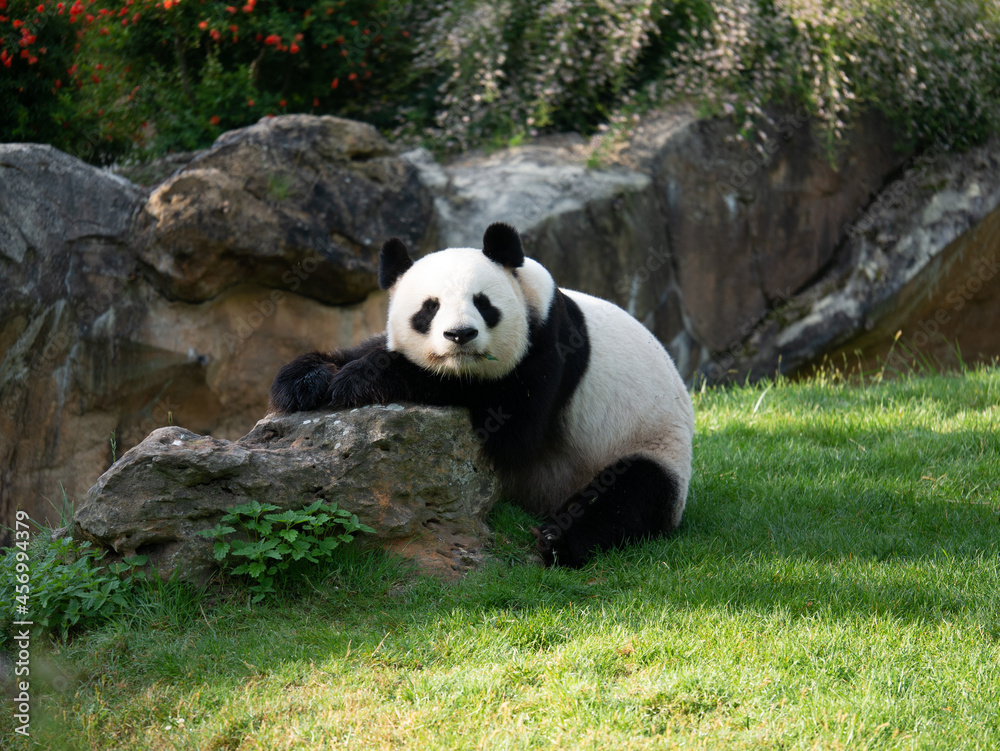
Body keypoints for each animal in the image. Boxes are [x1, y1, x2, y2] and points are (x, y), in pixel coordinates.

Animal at [269, 222, 694, 567]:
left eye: (483, 304)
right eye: (429, 308)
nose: (460, 335)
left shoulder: (551, 343)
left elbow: (512, 426)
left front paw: (358, 380)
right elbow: (367, 348)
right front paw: (304, 379)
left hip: (651, 444)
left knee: (627, 495)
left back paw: (557, 541)